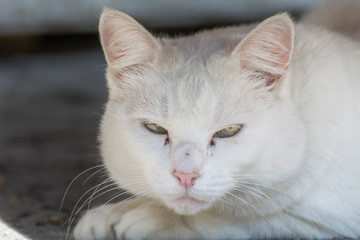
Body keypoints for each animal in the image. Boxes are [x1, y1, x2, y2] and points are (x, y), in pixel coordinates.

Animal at [74, 2, 360, 239]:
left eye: (228, 131)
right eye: (154, 128)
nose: (186, 176)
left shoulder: (324, 219)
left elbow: (243, 216)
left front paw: (156, 218)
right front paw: (113, 213)